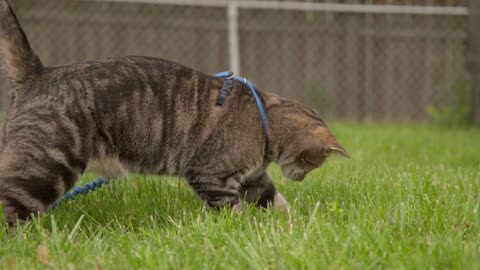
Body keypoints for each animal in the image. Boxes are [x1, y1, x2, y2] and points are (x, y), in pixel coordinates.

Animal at [0, 0, 346, 226]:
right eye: (313, 163)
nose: (302, 178)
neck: (263, 120)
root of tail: (41, 73)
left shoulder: (254, 179)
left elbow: (277, 203)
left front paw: (296, 227)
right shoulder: (211, 176)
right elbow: (234, 214)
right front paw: (244, 232)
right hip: (48, 165)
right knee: (12, 204)